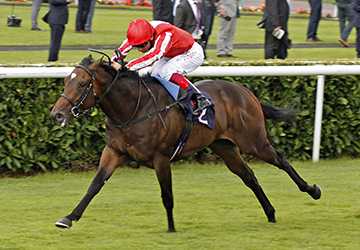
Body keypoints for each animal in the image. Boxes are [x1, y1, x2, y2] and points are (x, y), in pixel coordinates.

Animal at [50, 54, 320, 232]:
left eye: (82, 84)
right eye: (65, 82)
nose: (57, 115)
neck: (132, 109)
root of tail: (246, 92)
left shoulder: (160, 158)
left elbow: (167, 194)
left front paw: (171, 228)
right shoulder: (113, 152)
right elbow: (95, 185)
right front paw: (68, 218)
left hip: (254, 142)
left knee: (281, 158)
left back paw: (312, 190)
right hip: (225, 147)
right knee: (249, 177)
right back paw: (270, 213)